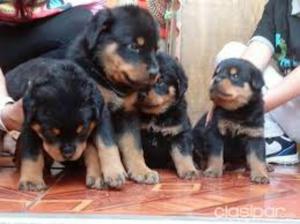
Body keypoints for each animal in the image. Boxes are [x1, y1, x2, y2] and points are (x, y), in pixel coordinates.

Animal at [6, 57, 125, 191]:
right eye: (49, 132)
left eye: (83, 130)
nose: (68, 152)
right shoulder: (29, 125)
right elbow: (32, 153)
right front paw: (31, 181)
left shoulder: (102, 114)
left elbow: (107, 143)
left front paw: (114, 173)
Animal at [67, 5, 162, 184]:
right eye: (133, 46)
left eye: (155, 49)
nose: (155, 73)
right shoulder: (101, 112)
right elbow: (107, 144)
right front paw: (114, 172)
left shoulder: (129, 113)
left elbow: (133, 145)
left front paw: (142, 170)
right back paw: (97, 176)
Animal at [137, 52, 199, 180]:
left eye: (160, 80)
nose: (141, 94)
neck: (155, 115)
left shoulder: (179, 133)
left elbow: (183, 154)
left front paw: (189, 170)